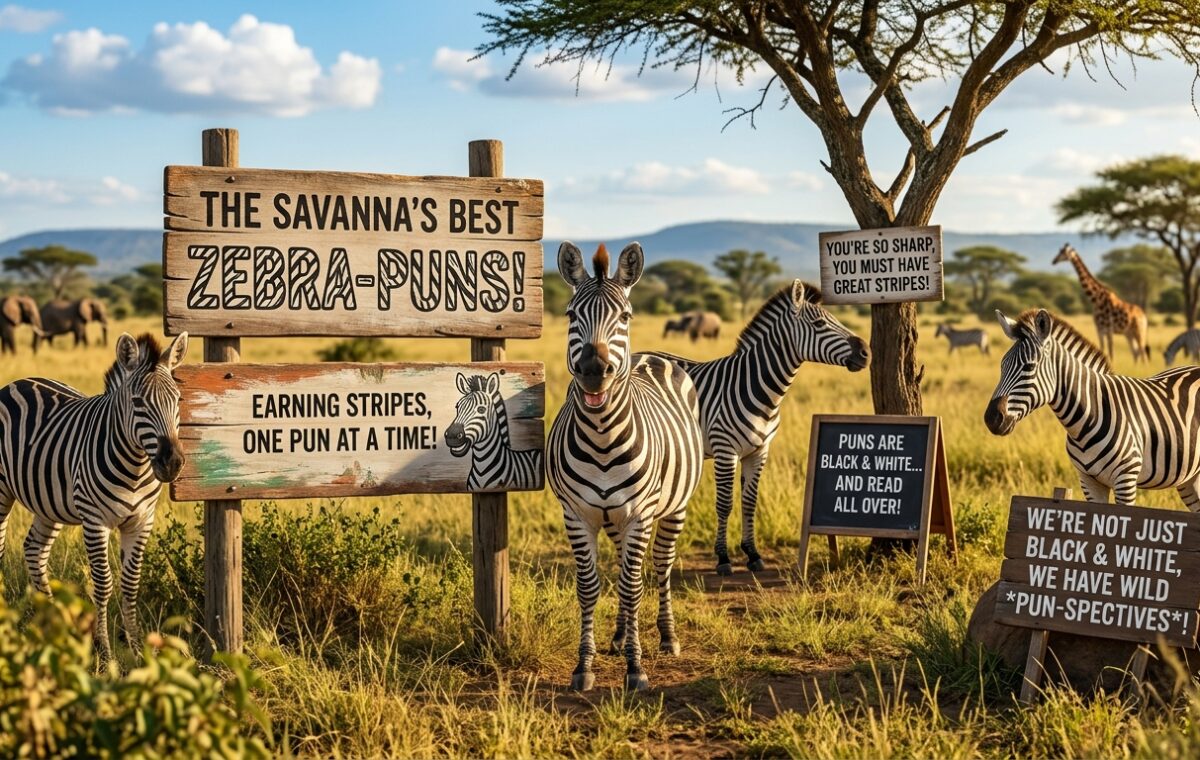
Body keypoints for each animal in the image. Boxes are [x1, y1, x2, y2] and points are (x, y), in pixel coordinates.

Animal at [0, 332, 188, 666]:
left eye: (178, 400)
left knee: (35, 550)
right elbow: (103, 583)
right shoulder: (94, 521)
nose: (173, 463)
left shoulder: (142, 521)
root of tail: (18, 382)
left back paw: (52, 623)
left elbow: (131, 583)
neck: (136, 467)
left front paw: (137, 650)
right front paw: (104, 653)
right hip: (1, 489)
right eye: (137, 402)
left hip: (49, 502)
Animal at [548, 241, 704, 692]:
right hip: (614, 517)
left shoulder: (640, 513)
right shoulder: (576, 513)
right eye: (570, 315)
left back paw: (667, 637)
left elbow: (633, 587)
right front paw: (584, 665)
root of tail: (650, 355)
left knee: (661, 566)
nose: (594, 372)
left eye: (625, 317)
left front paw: (635, 668)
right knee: (620, 566)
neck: (601, 436)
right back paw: (618, 636)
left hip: (672, 507)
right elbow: (590, 587)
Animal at [650, 281, 869, 574]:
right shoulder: (725, 450)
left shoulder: (759, 450)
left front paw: (752, 554)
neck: (758, 387)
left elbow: (750, 502)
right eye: (820, 323)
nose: (866, 353)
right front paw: (723, 558)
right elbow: (725, 504)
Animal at [985, 308, 1200, 509]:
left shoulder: (1126, 478)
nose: (991, 418)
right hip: (1190, 478)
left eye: (1029, 367)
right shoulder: (1089, 481)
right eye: (1002, 365)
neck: (1085, 421)